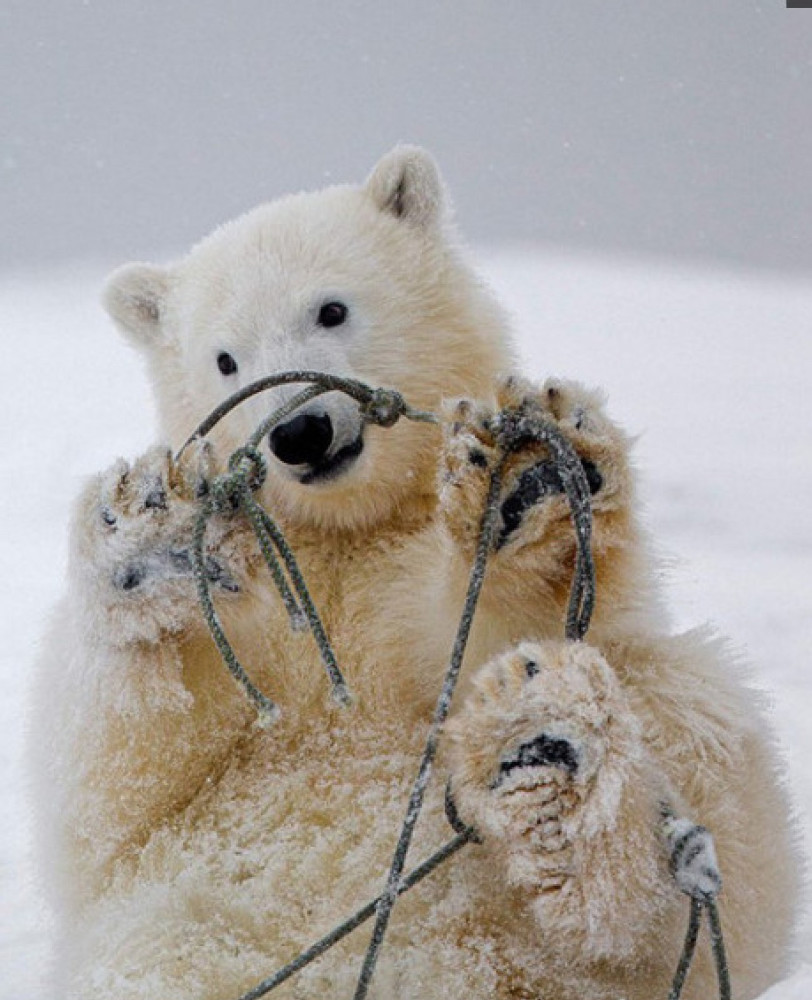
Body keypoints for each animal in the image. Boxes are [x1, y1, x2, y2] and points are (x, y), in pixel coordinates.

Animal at [30, 148, 800, 1000]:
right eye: (225, 358)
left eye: (331, 309)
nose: (300, 431)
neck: (346, 527)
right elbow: (112, 778)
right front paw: (150, 534)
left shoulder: (399, 569)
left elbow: (485, 635)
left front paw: (522, 494)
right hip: (181, 943)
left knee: (698, 747)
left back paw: (555, 773)